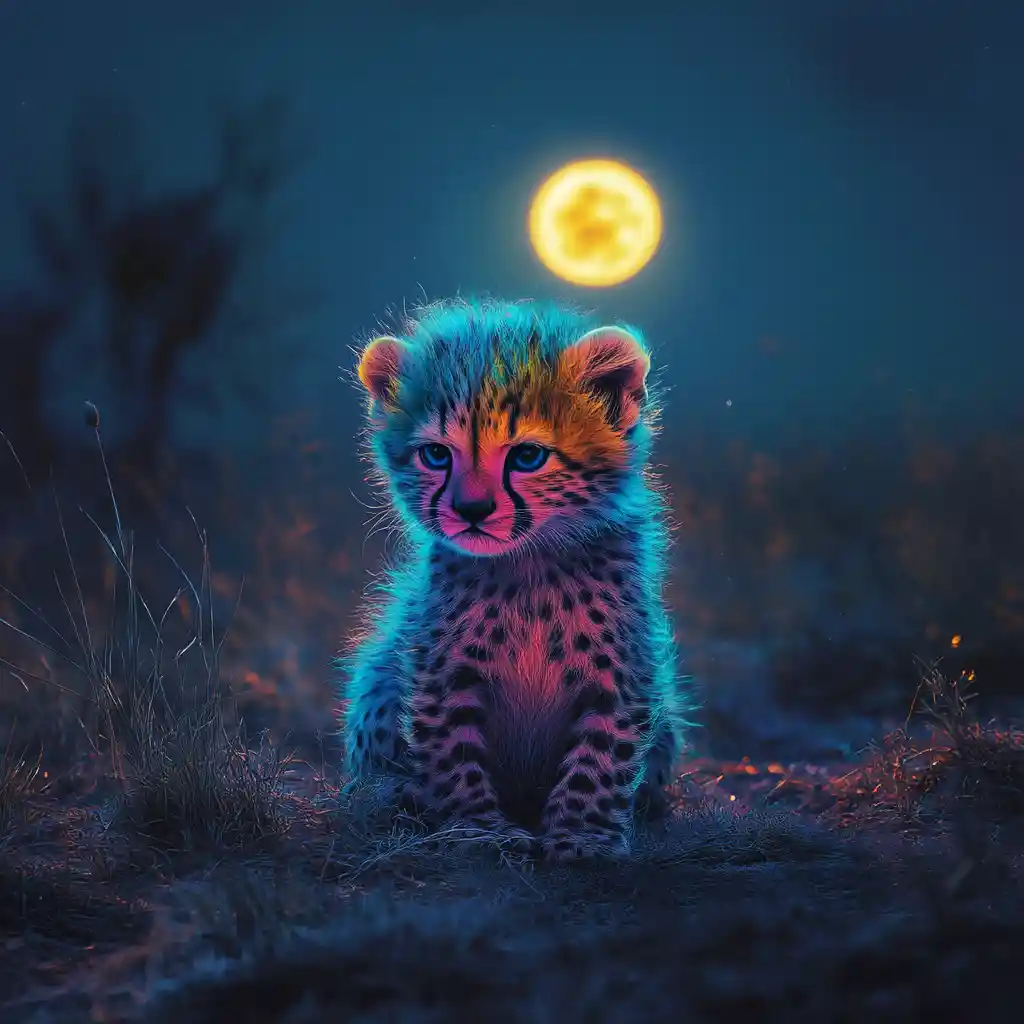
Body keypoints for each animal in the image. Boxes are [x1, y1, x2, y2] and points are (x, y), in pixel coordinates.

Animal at [336, 297, 692, 860]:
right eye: (436, 455)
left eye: (527, 456)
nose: (472, 510)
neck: (529, 565)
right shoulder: (442, 676)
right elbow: (452, 752)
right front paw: (478, 829)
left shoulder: (622, 676)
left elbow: (601, 756)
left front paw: (583, 834)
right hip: (377, 677)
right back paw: (396, 797)